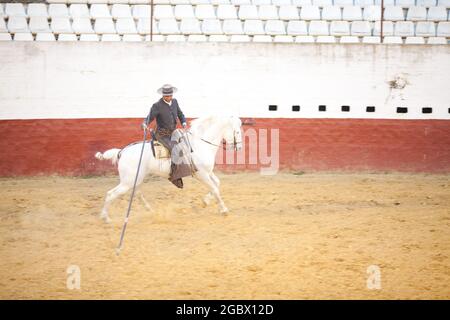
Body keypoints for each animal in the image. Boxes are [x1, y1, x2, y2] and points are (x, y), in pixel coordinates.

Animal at [95, 114, 243, 222]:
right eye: (237, 131)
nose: (240, 148)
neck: (199, 144)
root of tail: (122, 151)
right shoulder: (202, 174)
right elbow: (215, 189)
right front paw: (224, 210)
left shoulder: (208, 172)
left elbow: (217, 184)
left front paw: (205, 202)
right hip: (128, 181)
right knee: (111, 194)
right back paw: (105, 218)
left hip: (135, 179)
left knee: (136, 193)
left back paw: (149, 210)